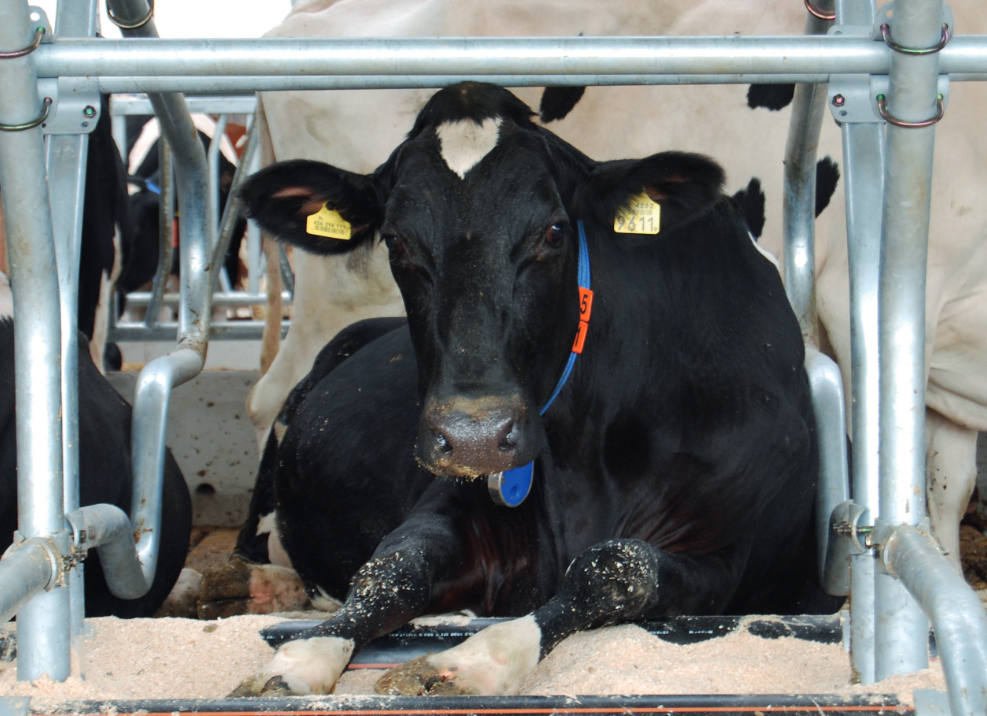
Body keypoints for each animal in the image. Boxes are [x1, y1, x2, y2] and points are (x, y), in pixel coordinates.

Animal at [226, 82, 842, 697]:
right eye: (396, 241)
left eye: (553, 232)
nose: (474, 436)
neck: (583, 457)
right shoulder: (455, 502)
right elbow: (396, 567)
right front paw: (300, 659)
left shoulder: (725, 552)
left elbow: (612, 569)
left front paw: (477, 659)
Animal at [245, 0, 987, 576]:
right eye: (397, 239)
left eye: (553, 230)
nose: (477, 436)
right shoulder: (868, 300)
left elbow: (946, 488)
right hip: (338, 295)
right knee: (270, 395)